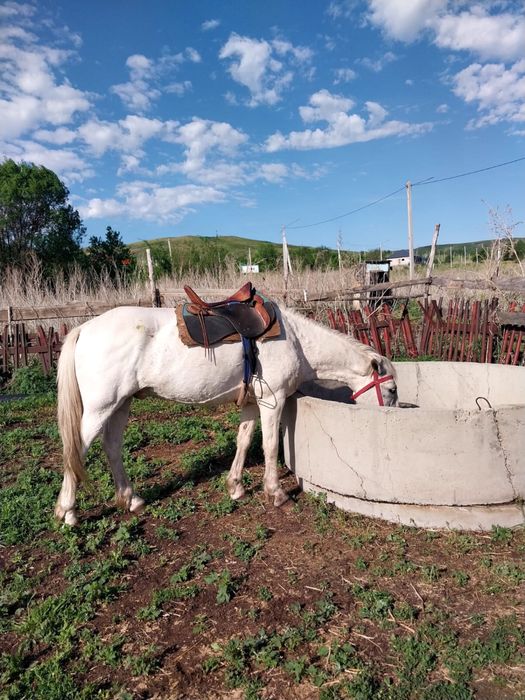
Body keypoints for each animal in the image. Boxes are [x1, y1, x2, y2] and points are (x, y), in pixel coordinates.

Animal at [55, 303, 398, 525]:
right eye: (393, 390)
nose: (390, 416)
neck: (297, 340)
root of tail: (85, 328)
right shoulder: (272, 401)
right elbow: (270, 446)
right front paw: (276, 492)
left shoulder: (251, 402)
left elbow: (243, 441)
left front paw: (235, 486)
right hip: (101, 407)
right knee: (76, 450)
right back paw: (68, 511)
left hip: (121, 404)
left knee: (112, 447)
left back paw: (131, 499)